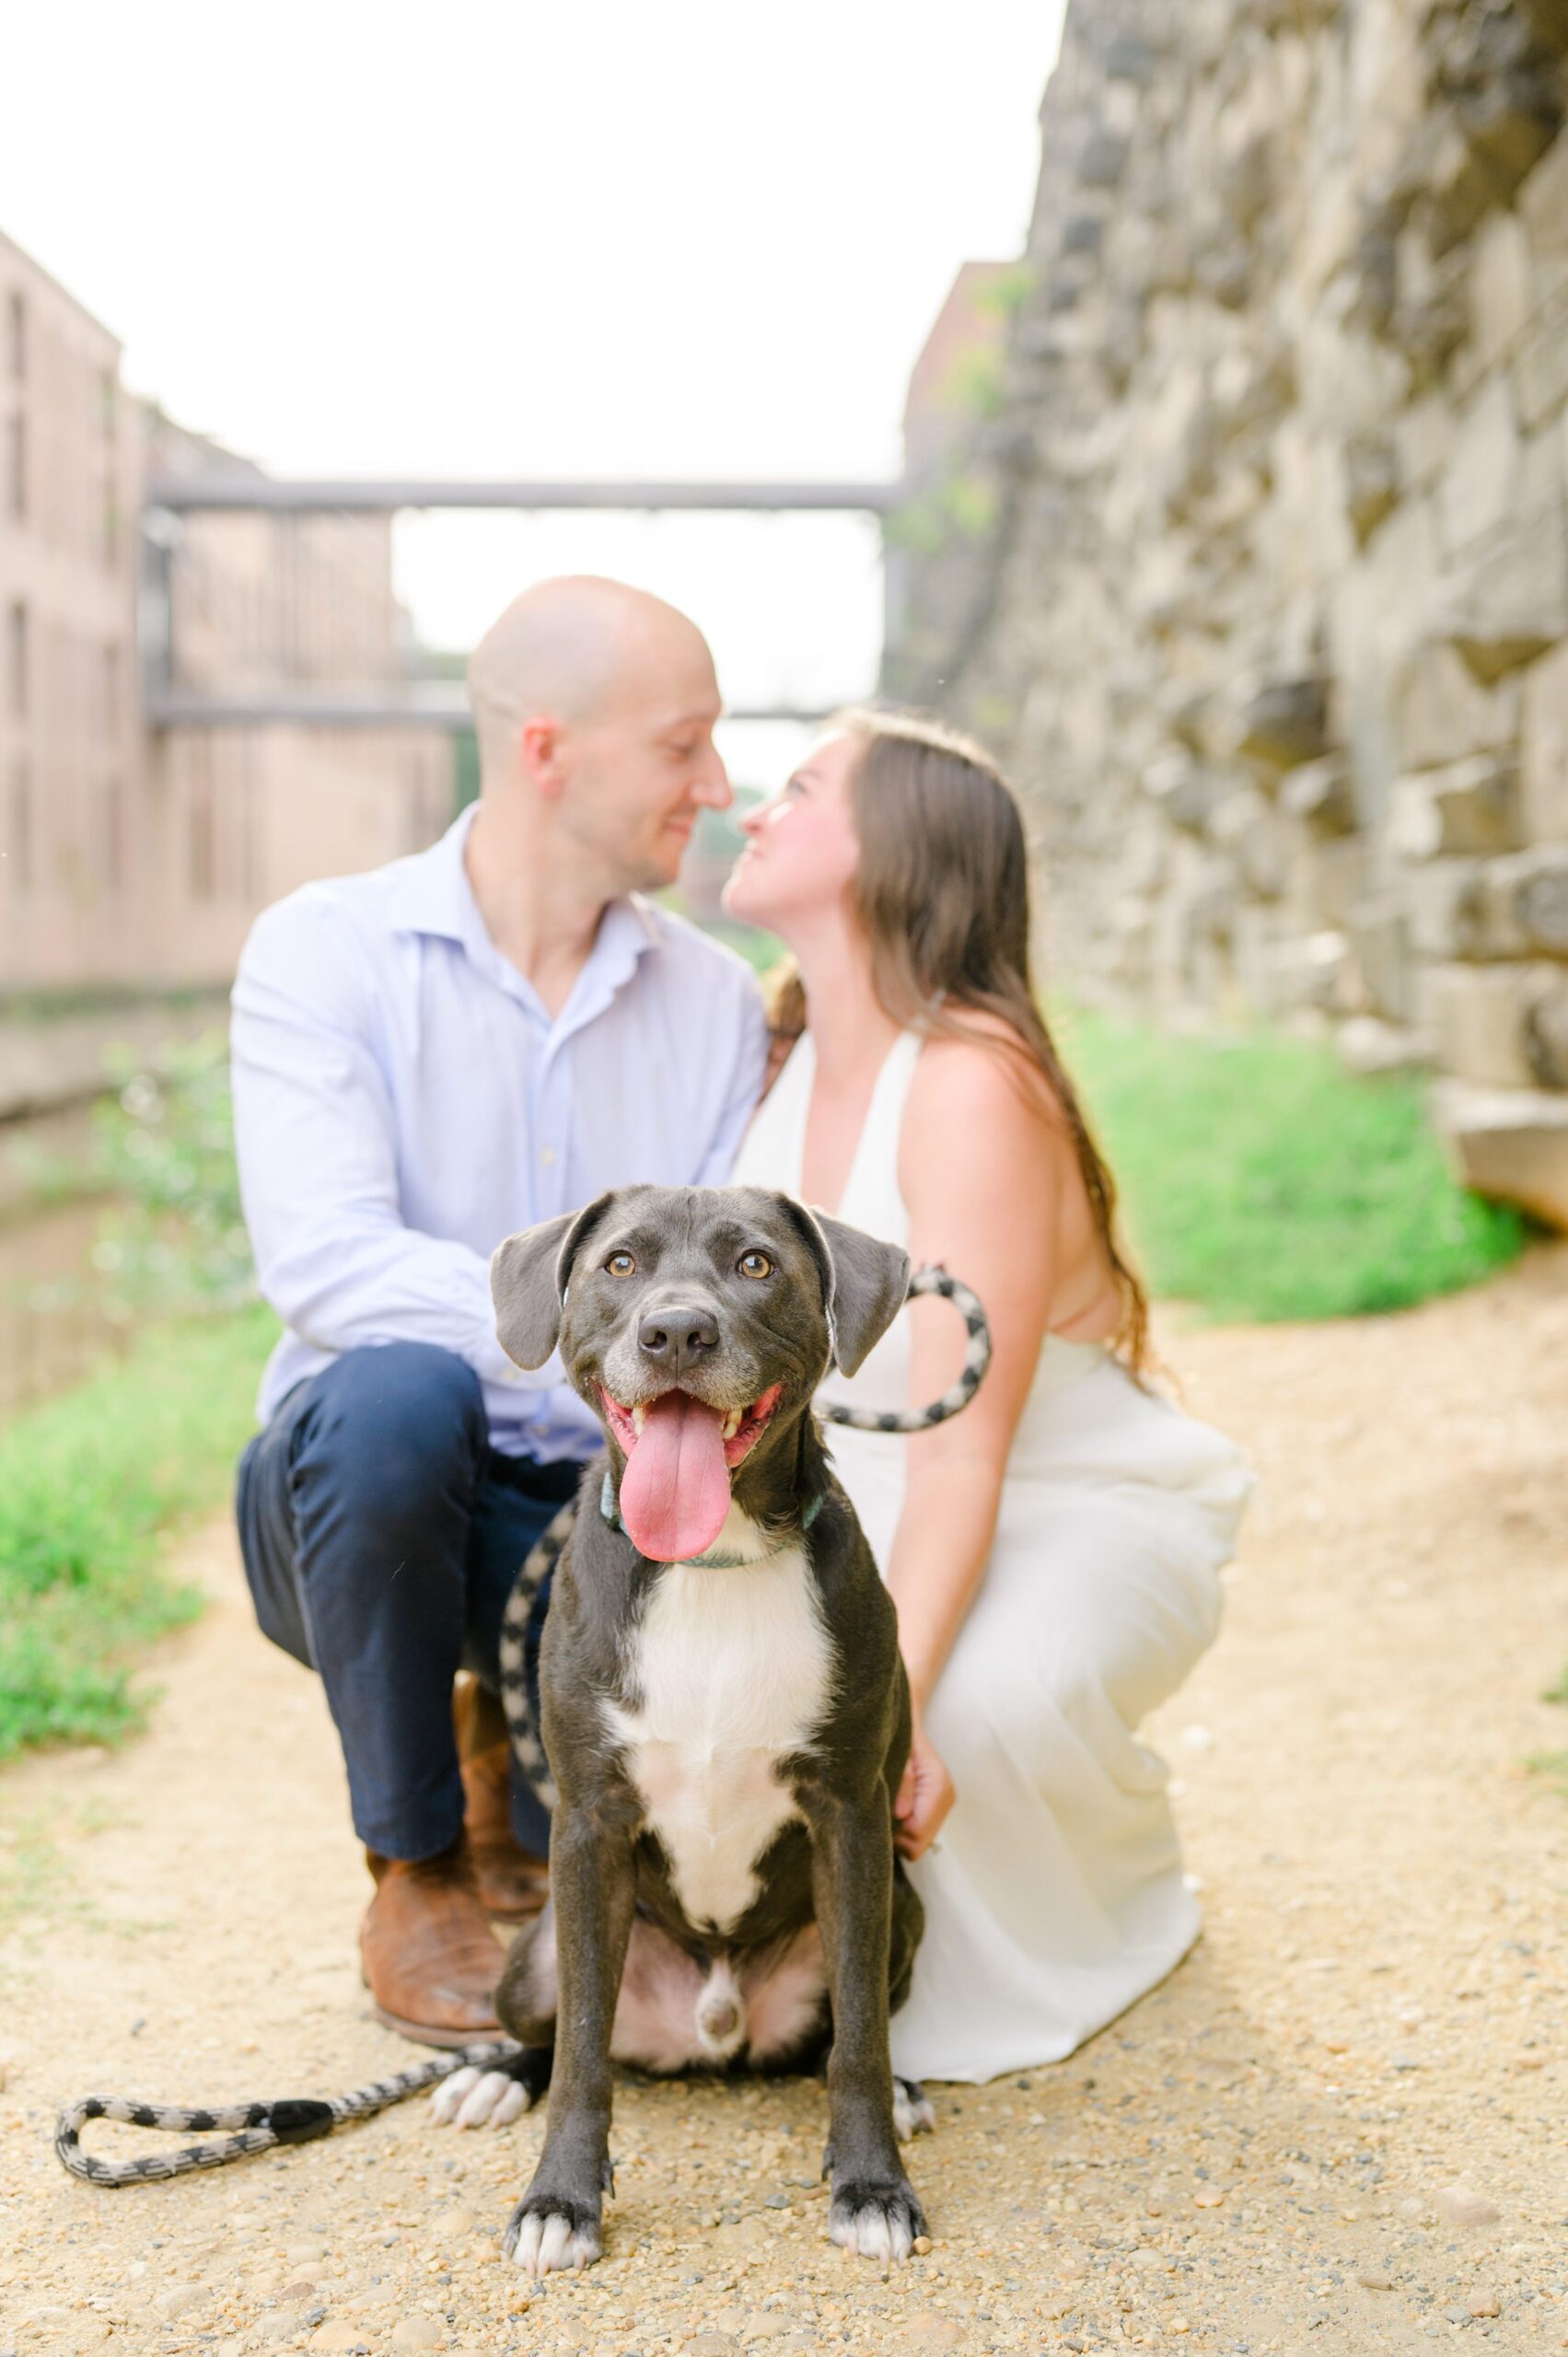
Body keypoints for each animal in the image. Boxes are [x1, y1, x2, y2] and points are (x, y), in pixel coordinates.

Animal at [434, 1188, 934, 2271]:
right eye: (620, 1264)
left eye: (755, 1265)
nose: (675, 1331)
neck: (712, 1563)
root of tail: (710, 2024)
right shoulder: (590, 1825)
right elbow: (582, 2052)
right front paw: (560, 2200)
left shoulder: (849, 1816)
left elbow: (859, 2042)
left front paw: (872, 2185)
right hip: (530, 1955)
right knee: (554, 2029)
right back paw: (495, 2072)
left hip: (903, 1907)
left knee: (841, 2034)